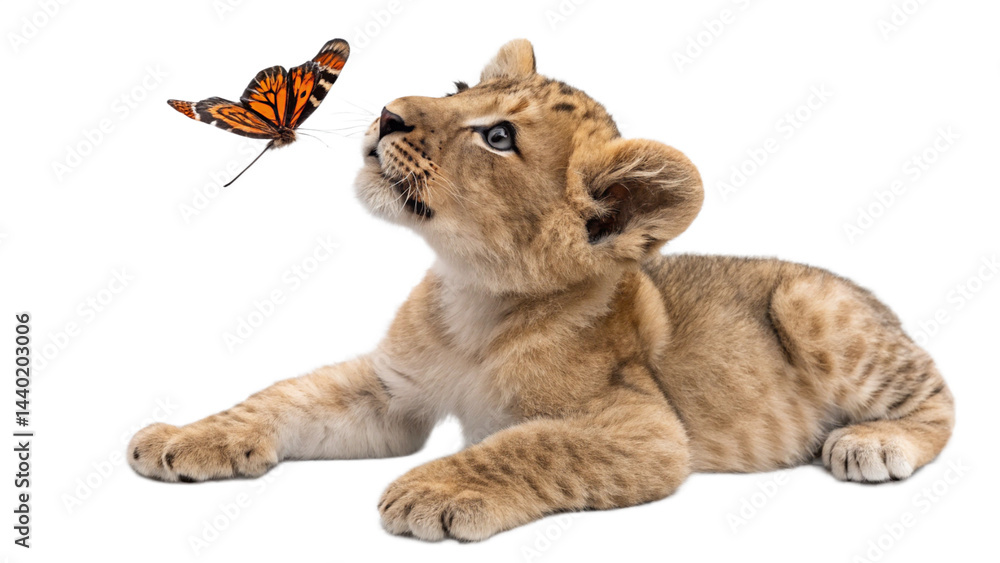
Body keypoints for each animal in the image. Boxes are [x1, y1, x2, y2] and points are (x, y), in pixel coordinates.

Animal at [129, 39, 954, 541]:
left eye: (498, 137)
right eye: (462, 87)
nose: (388, 111)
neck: (473, 298)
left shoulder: (648, 430)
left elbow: (531, 442)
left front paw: (429, 489)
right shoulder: (390, 393)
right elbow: (281, 397)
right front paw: (179, 438)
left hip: (809, 303)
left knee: (940, 398)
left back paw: (871, 442)